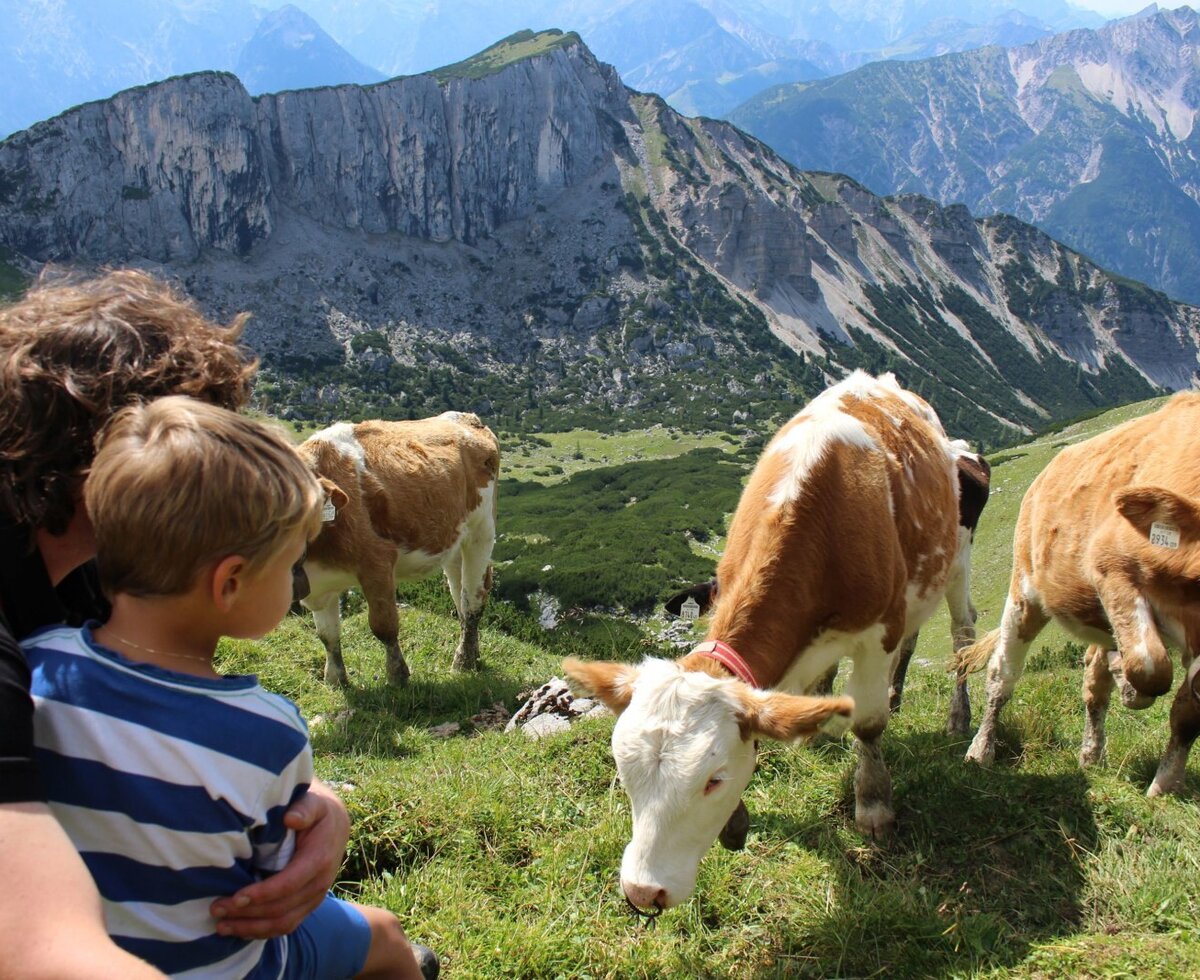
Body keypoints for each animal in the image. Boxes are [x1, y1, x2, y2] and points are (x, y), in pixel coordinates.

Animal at [293, 412, 499, 687]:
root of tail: (466, 417)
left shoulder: (377, 562)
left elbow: (384, 625)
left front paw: (398, 676)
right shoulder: (320, 584)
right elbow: (327, 634)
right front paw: (335, 679)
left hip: (481, 531)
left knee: (472, 600)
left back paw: (463, 663)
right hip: (454, 539)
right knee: (459, 595)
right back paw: (473, 655)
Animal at [564, 371, 969, 912]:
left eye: (712, 780)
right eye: (624, 771)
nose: (641, 891)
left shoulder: (879, 631)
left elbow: (870, 723)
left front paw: (874, 806)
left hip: (958, 559)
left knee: (963, 634)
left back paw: (960, 719)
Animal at [957, 392, 1200, 797]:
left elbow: (1186, 708)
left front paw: (1165, 784)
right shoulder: (1111, 567)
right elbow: (1151, 666)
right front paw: (1130, 680)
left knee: (1093, 679)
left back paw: (1091, 753)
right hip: (1026, 590)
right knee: (1001, 675)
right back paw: (981, 750)